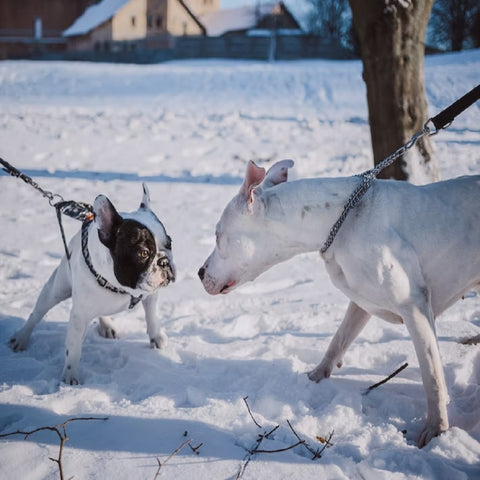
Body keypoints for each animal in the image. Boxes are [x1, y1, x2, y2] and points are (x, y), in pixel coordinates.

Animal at [10, 185, 175, 386]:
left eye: (170, 243)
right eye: (143, 253)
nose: (165, 261)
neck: (119, 287)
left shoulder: (150, 295)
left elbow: (152, 316)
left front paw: (156, 337)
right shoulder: (79, 317)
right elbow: (73, 348)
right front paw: (70, 377)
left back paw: (107, 326)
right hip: (56, 289)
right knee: (37, 314)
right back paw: (21, 338)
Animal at [199, 158, 480, 446]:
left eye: (218, 235)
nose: (199, 273)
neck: (341, 222)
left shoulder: (415, 307)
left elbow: (432, 374)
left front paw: (436, 429)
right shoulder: (360, 302)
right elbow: (339, 339)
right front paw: (315, 377)